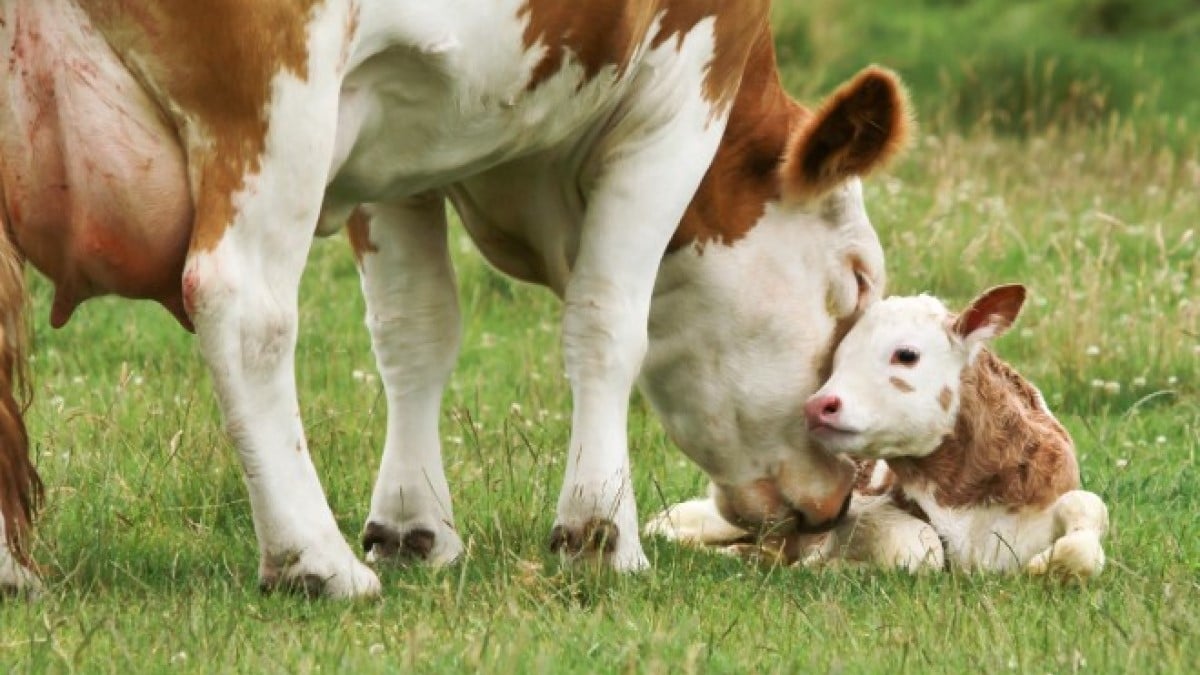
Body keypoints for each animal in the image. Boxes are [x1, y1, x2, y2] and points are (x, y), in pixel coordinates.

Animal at [0, 0, 907, 593]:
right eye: (858, 278)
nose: (844, 493)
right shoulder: (684, 89)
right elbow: (609, 321)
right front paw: (601, 533)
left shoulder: (395, 144)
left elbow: (416, 328)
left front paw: (413, 525)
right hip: (277, 97)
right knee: (244, 307)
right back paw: (313, 560)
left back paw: (13, 570)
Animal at [652, 284, 1108, 578]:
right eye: (836, 359)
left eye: (906, 354)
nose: (818, 405)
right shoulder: (864, 511)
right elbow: (920, 545)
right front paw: (827, 566)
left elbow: (1088, 513)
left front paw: (1047, 568)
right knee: (667, 524)